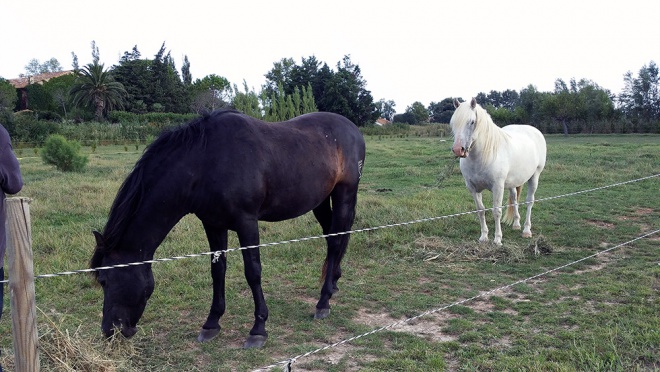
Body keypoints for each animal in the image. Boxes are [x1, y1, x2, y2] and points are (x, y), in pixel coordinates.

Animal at [89, 109, 366, 348]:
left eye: (104, 280)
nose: (110, 330)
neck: (205, 163)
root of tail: (352, 128)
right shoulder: (213, 224)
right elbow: (217, 271)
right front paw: (211, 323)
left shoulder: (247, 223)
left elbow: (253, 272)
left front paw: (258, 329)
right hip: (320, 201)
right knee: (332, 239)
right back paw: (334, 283)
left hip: (345, 194)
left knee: (337, 241)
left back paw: (323, 301)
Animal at [448, 97, 548, 246]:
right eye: (453, 123)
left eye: (471, 122)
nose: (458, 149)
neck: (483, 155)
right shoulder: (472, 188)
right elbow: (481, 210)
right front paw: (483, 236)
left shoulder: (498, 187)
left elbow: (496, 211)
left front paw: (497, 239)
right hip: (513, 182)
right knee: (514, 197)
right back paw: (516, 224)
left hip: (534, 176)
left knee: (530, 201)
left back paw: (526, 230)